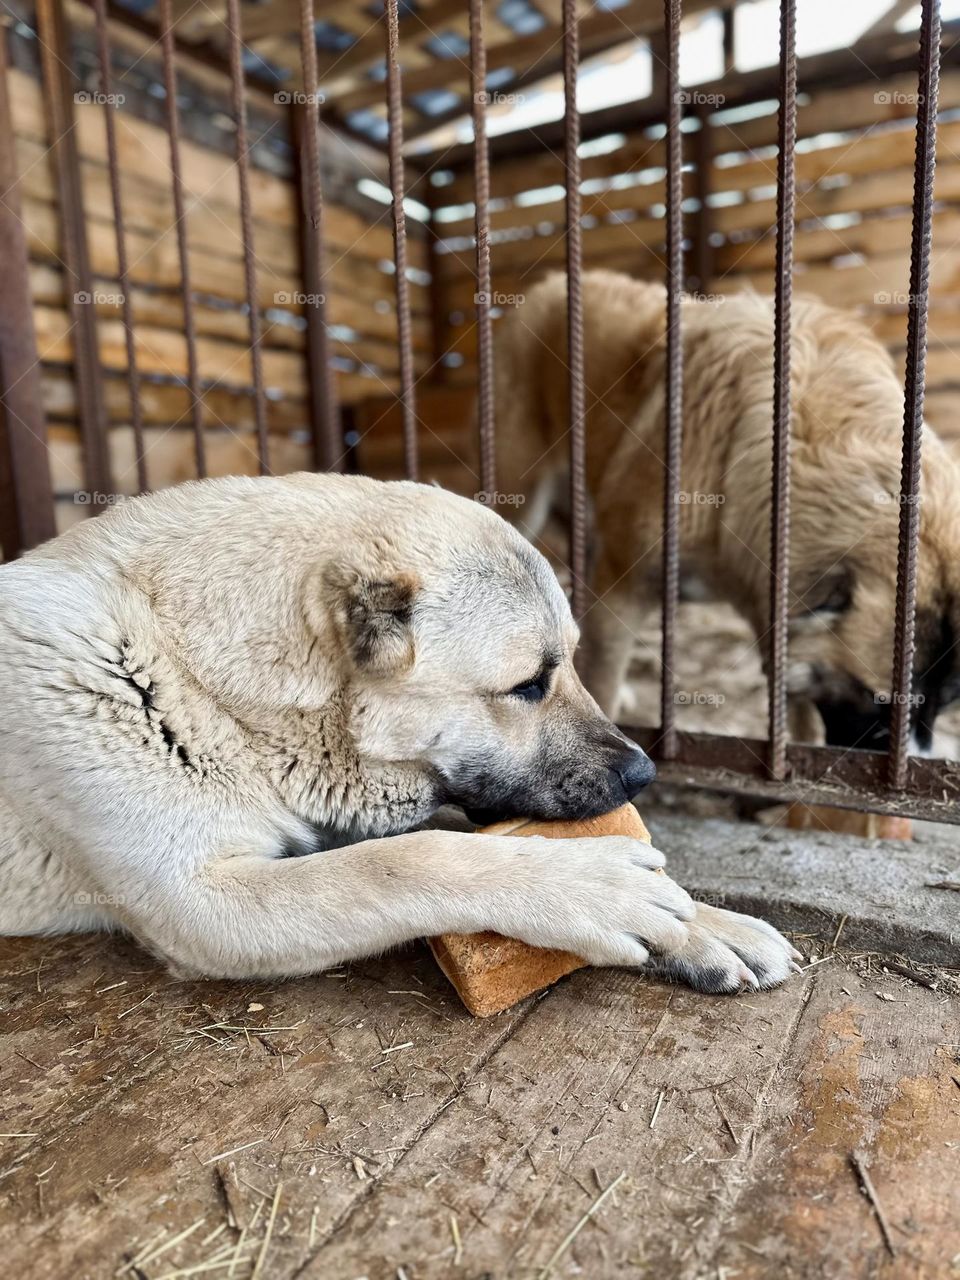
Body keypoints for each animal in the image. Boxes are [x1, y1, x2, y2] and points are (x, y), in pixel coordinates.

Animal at [0, 476, 798, 993]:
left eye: (569, 663)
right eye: (527, 685)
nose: (642, 775)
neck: (201, 683)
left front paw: (703, 924)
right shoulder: (200, 903)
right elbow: (407, 861)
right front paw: (588, 888)